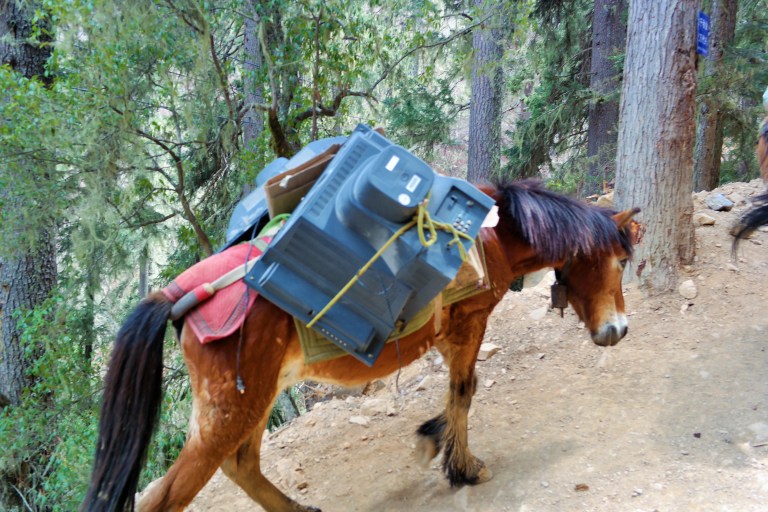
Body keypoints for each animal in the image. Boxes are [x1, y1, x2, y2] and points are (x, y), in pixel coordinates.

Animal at [82, 179, 639, 512]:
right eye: (619, 261)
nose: (618, 331)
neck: (491, 235)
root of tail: (177, 297)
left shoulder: (449, 338)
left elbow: (456, 395)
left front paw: (434, 441)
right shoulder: (470, 325)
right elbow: (463, 393)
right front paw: (464, 467)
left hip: (254, 399)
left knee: (242, 465)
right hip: (231, 410)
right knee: (166, 496)